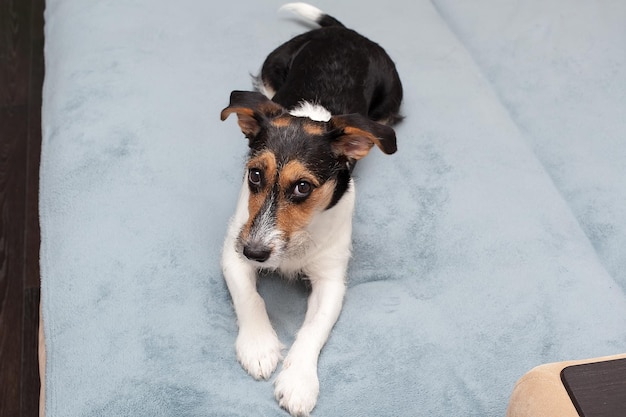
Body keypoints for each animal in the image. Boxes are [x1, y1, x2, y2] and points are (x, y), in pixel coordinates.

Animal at [219, 2, 402, 412]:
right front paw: (258, 347)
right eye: (255, 175)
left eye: (303, 187)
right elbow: (249, 297)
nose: (255, 252)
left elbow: (313, 331)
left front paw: (299, 381)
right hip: (271, 67)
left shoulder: (331, 281)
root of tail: (344, 30)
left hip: (389, 104)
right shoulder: (233, 249)